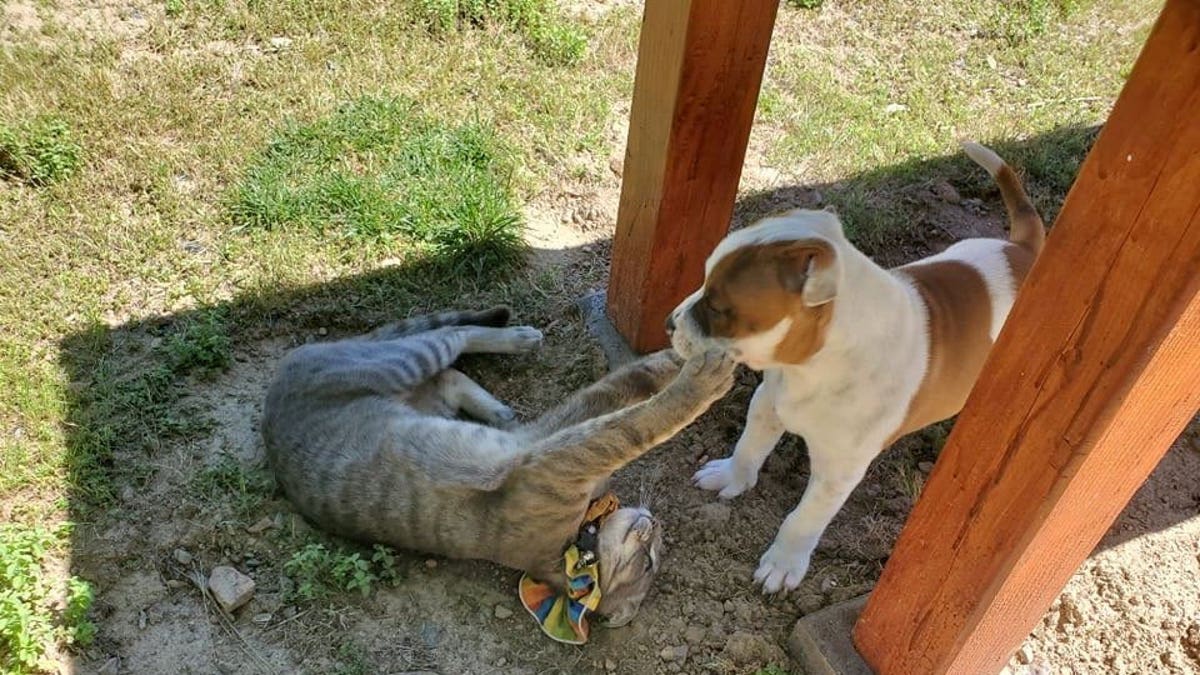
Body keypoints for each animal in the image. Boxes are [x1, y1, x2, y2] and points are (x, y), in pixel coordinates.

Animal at [261, 307, 729, 624]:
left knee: (449, 355)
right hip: (406, 362)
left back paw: (503, 385)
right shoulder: (560, 440)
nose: (656, 522)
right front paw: (685, 361)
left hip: (411, 373)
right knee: (452, 334)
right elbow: (632, 399)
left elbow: (634, 420)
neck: (573, 544)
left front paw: (696, 369)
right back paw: (516, 343)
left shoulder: (555, 446)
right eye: (648, 562)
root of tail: (280, 376)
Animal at [672, 140, 1046, 588]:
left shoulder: (837, 473)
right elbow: (750, 446)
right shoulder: (768, 403)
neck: (811, 368)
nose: (670, 321)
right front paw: (732, 476)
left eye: (717, 306)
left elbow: (803, 519)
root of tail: (1025, 251)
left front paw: (783, 562)